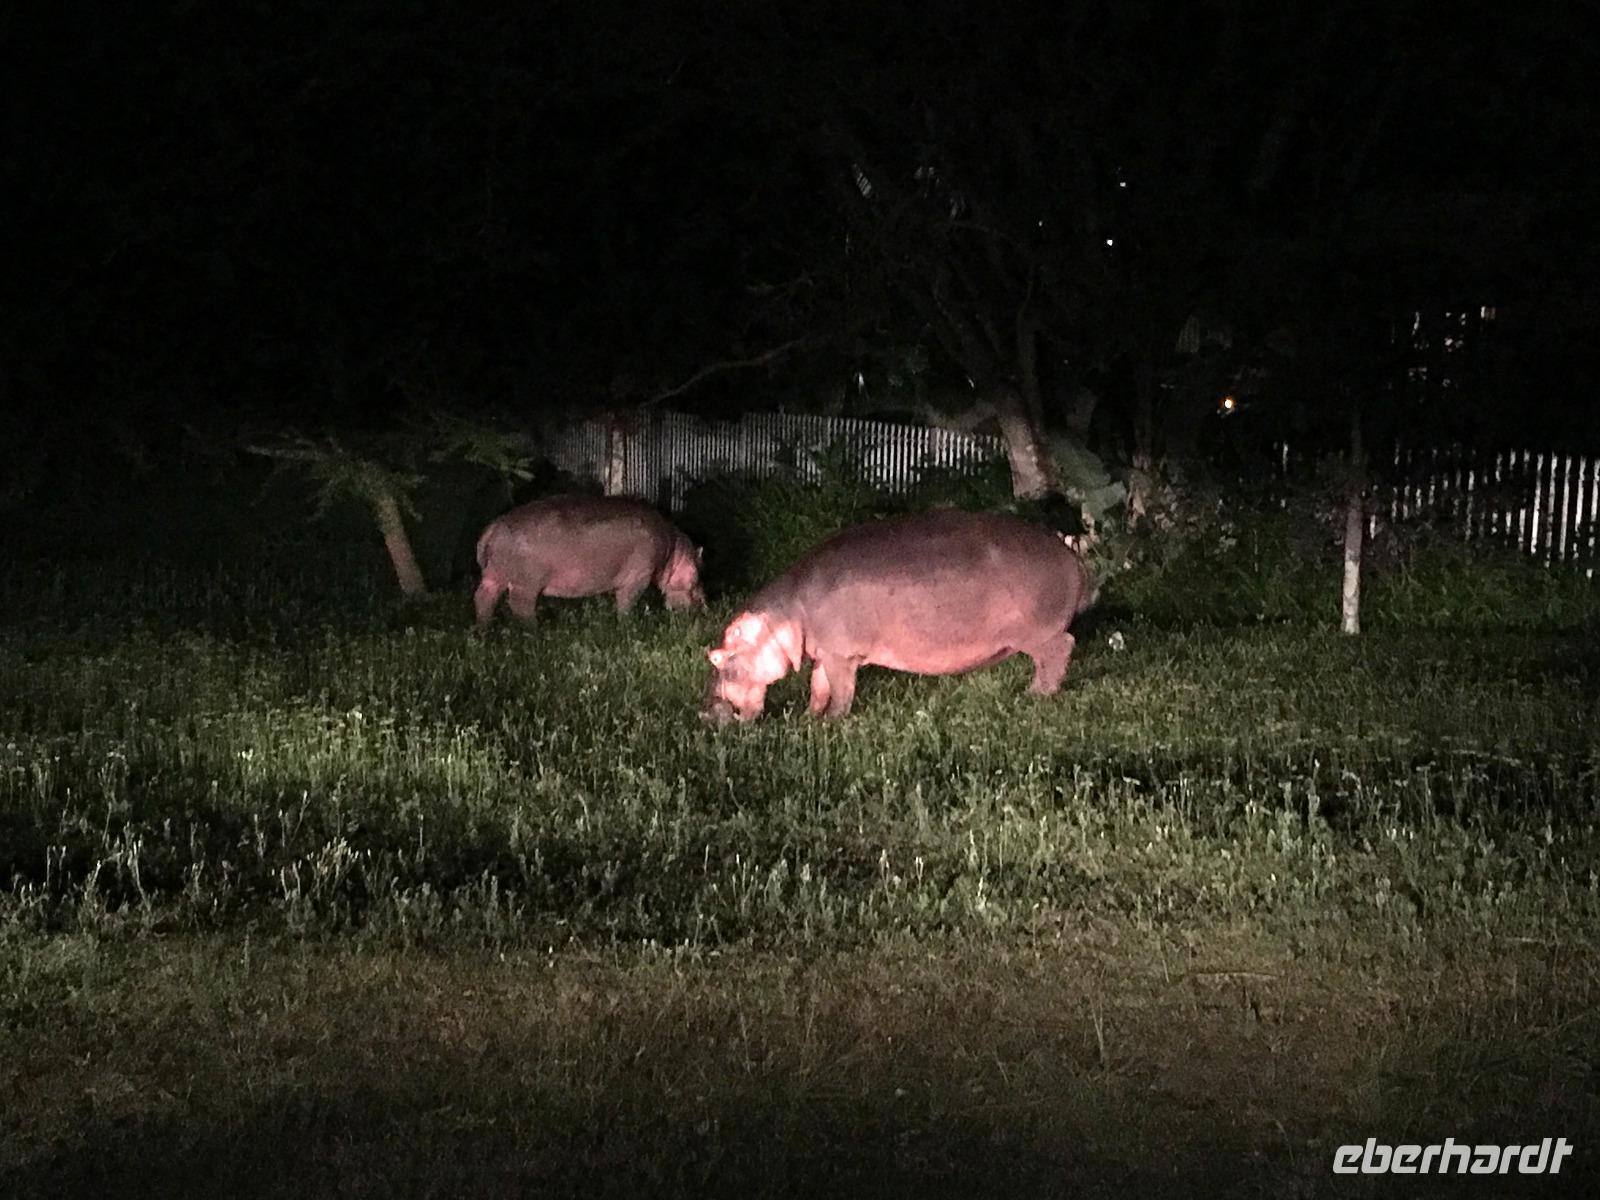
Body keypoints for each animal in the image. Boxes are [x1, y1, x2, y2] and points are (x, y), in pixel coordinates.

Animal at [474, 495, 705, 625]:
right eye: (696, 575)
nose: (704, 604)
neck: (675, 554)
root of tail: (494, 526)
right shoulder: (639, 577)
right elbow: (627, 602)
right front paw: (627, 625)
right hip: (525, 584)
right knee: (520, 606)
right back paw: (533, 630)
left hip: (493, 576)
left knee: (483, 598)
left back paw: (483, 629)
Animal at [702, 509, 1093, 722]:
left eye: (720, 659)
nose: (704, 713)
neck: (783, 618)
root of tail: (1071, 557)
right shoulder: (826, 653)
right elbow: (819, 687)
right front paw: (810, 719)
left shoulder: (842, 655)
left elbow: (840, 692)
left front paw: (832, 722)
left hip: (1036, 633)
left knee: (1061, 648)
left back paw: (1035, 696)